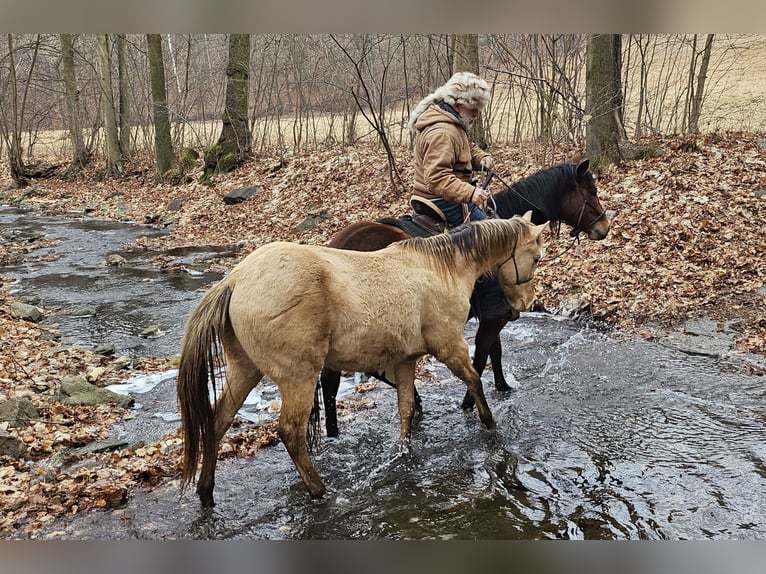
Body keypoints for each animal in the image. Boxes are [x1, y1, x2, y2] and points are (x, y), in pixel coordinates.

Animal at [177, 214, 547, 505]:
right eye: (536, 257)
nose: (524, 304)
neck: (441, 268)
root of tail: (235, 279)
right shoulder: (449, 345)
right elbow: (474, 379)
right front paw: (490, 425)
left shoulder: (405, 360)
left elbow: (406, 407)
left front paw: (404, 453)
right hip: (299, 377)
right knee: (291, 432)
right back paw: (319, 491)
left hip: (245, 370)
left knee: (217, 421)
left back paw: (206, 493)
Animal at [318, 158, 611, 437]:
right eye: (592, 191)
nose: (604, 228)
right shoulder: (494, 315)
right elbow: (481, 357)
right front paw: (469, 403)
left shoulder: (489, 316)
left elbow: (495, 351)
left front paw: (502, 386)